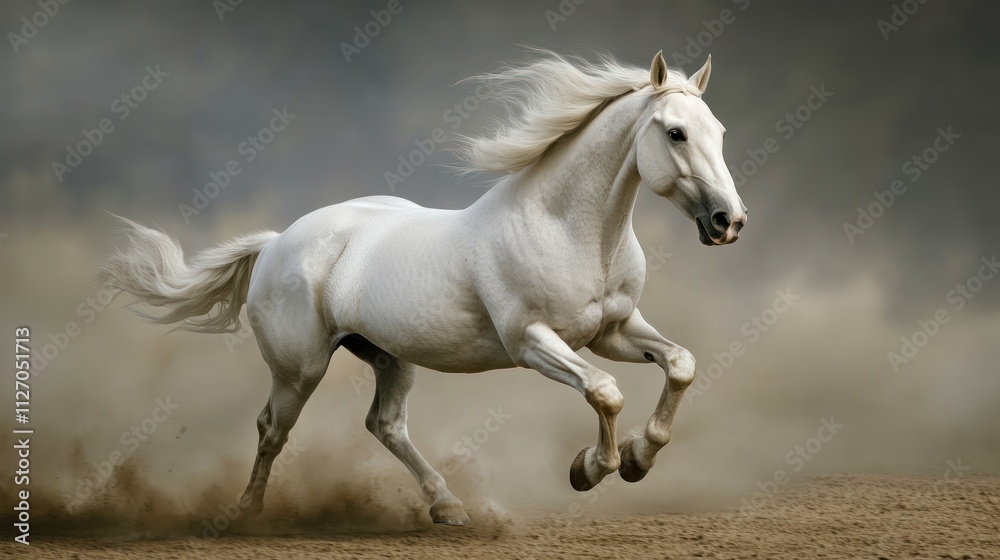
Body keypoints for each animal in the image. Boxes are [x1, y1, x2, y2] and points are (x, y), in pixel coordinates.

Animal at [100, 50, 747, 526]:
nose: (729, 221)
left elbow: (680, 364)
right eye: (676, 133)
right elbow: (606, 392)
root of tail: (279, 240)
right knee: (272, 428)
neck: (568, 228)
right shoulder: (532, 342)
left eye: (717, 130)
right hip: (301, 368)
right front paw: (589, 469)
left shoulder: (611, 330)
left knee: (384, 425)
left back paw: (448, 507)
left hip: (390, 356)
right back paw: (249, 514)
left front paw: (639, 458)